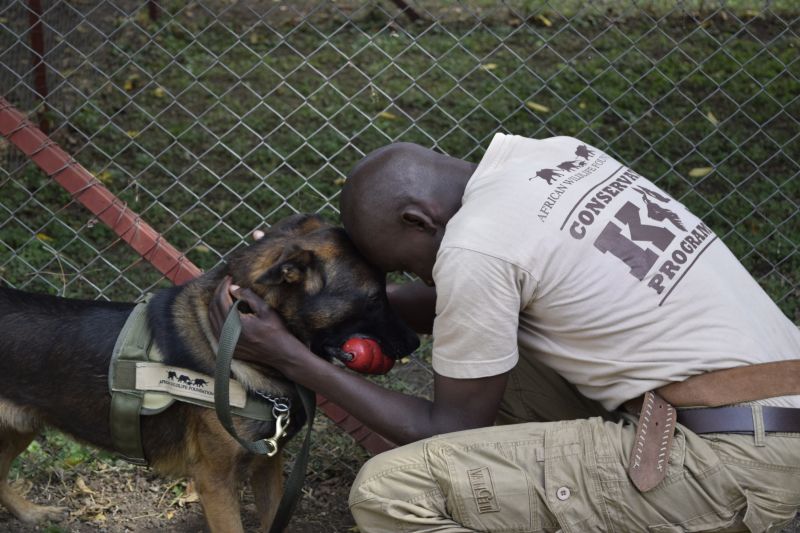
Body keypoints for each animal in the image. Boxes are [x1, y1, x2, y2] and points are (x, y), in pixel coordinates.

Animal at [0, 214, 418, 528]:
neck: (228, 342)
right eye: (374, 297)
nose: (415, 342)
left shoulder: (268, 463)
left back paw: (31, 514)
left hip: (20, 428)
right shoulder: (215, 482)